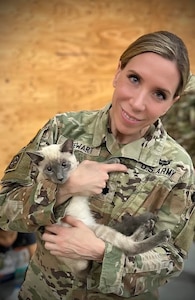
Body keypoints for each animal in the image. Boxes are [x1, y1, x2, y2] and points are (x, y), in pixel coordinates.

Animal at [27, 139, 171, 280]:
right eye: (49, 169)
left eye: (64, 164)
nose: (60, 178)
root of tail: (79, 273)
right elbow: (96, 165)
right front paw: (114, 161)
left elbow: (94, 164)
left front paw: (114, 161)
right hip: (99, 231)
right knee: (129, 248)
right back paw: (160, 232)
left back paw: (148, 223)